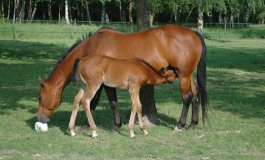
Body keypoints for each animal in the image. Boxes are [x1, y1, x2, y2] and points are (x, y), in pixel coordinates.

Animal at [37, 24, 206, 132]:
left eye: (40, 97)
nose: (40, 119)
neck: (92, 46)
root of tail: (194, 33)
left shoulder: (103, 84)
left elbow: (103, 103)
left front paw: (109, 126)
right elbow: (95, 102)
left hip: (183, 76)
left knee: (186, 98)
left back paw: (180, 125)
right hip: (187, 76)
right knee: (195, 95)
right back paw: (193, 124)